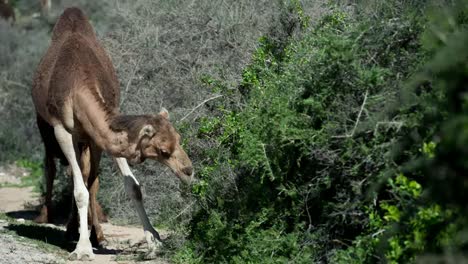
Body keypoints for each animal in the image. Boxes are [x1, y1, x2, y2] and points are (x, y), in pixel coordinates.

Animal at [31, 7, 193, 260]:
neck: (78, 82)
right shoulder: (62, 130)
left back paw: (88, 233)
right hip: (47, 129)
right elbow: (80, 190)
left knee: (86, 177)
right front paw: (83, 249)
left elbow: (128, 186)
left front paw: (154, 242)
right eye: (163, 151)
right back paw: (51, 220)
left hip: (85, 140)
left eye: (179, 139)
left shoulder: (101, 132)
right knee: (52, 167)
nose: (189, 171)